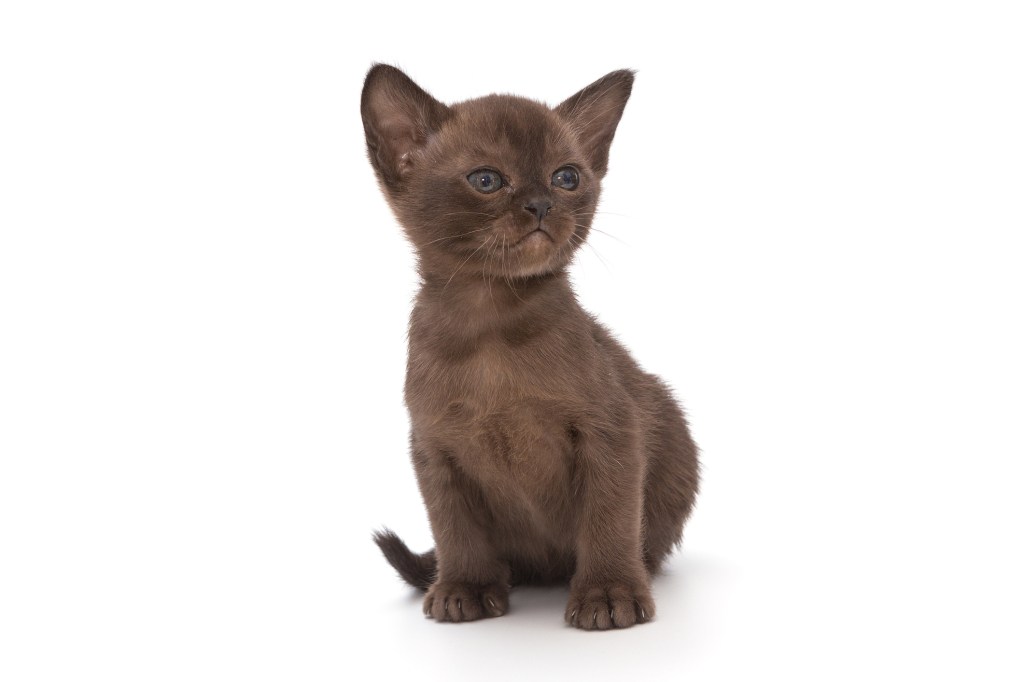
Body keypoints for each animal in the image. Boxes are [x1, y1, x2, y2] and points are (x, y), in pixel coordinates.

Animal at [362, 63, 704, 626]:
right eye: (486, 180)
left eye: (567, 177)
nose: (541, 204)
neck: (491, 323)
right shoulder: (436, 449)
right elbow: (454, 529)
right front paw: (464, 587)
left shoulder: (611, 431)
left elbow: (609, 518)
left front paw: (608, 594)